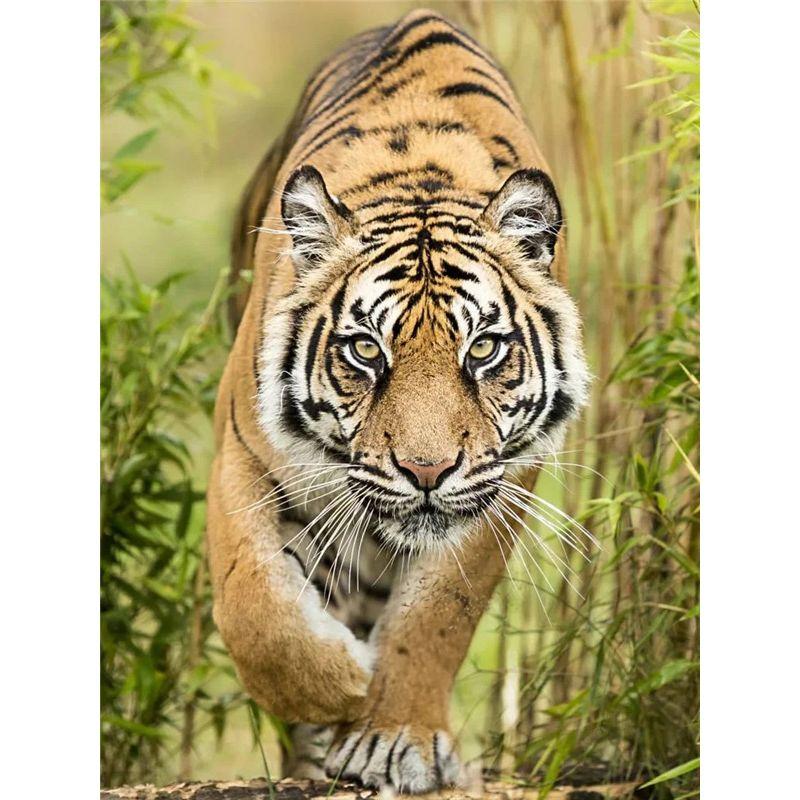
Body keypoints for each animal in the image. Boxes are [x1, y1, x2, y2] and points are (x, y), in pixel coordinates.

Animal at [206, 8, 590, 793]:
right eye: (364, 351)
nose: (426, 471)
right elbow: (254, 605)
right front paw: (337, 687)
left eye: (483, 349)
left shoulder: (501, 481)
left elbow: (437, 615)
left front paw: (391, 737)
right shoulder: (241, 456)